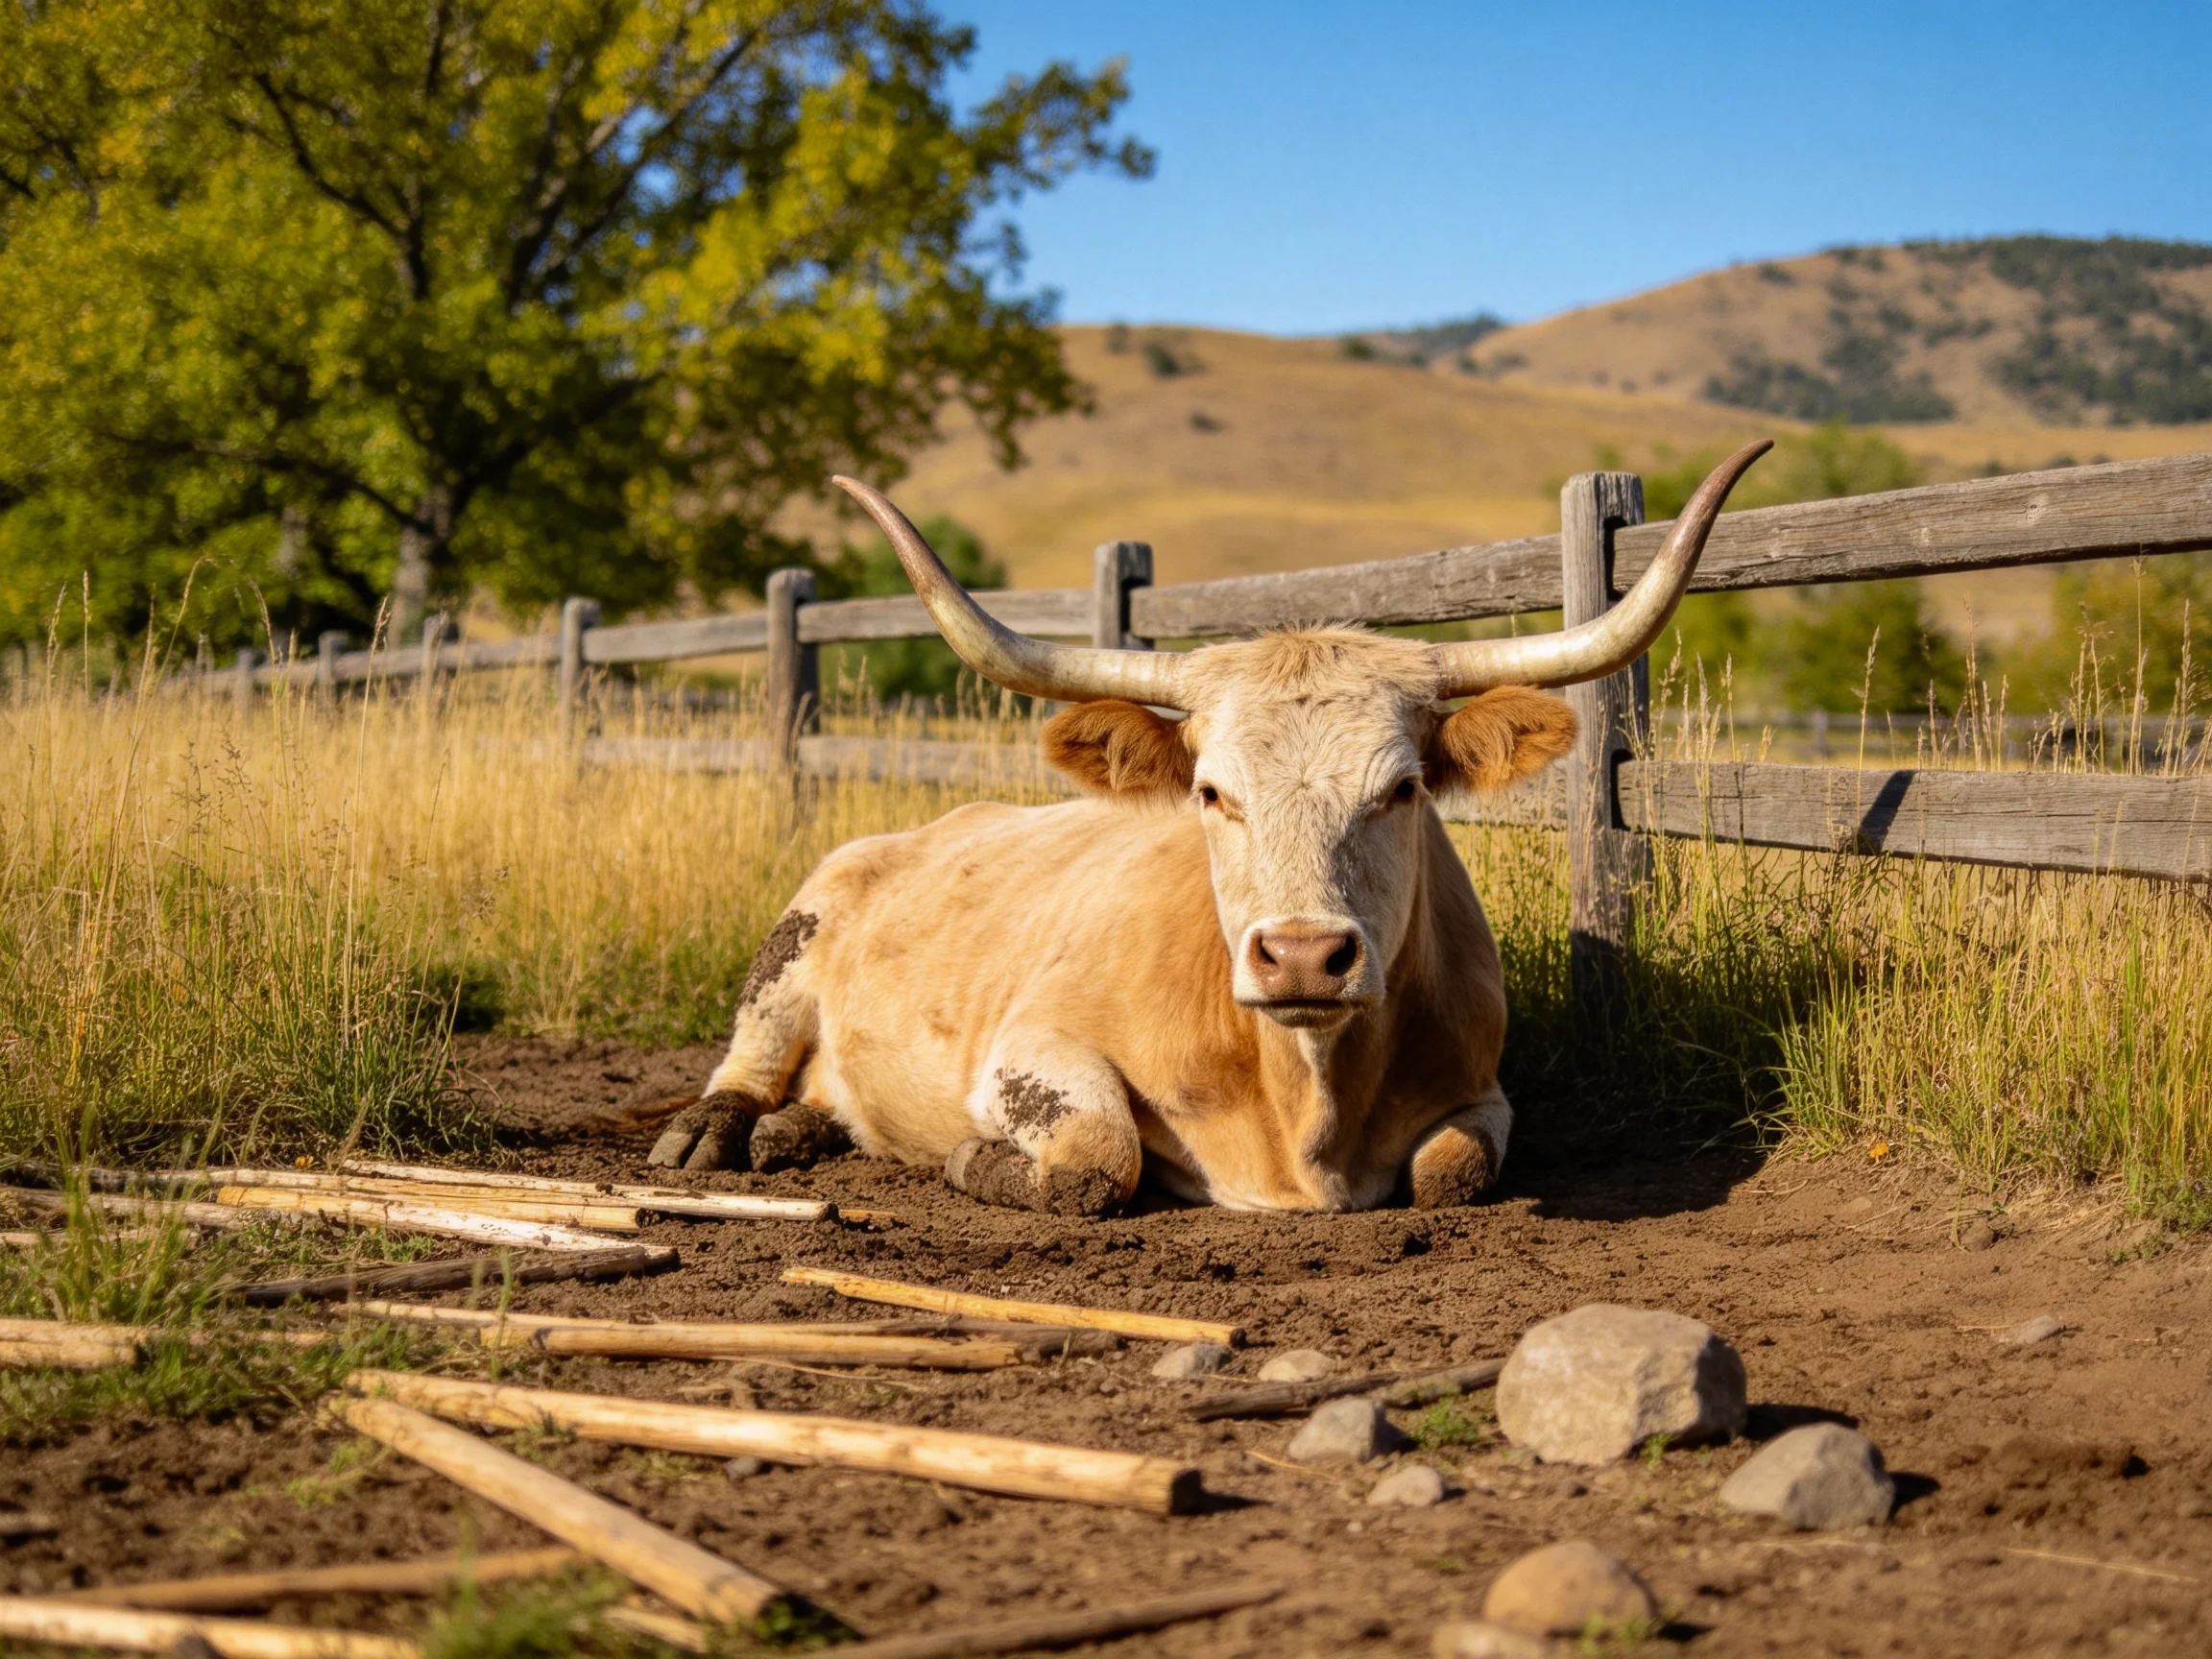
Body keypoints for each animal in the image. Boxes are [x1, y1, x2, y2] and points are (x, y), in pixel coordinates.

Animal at [635, 442, 1769, 1213]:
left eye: (1402, 790)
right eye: (1212, 793)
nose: (1304, 956)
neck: (1304, 1102)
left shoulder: (1483, 1088)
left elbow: (1450, 1172)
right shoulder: (1030, 1045)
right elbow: (1098, 1159)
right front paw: (973, 1158)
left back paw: (796, 1136)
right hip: (788, 955)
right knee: (744, 1067)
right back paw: (714, 1136)